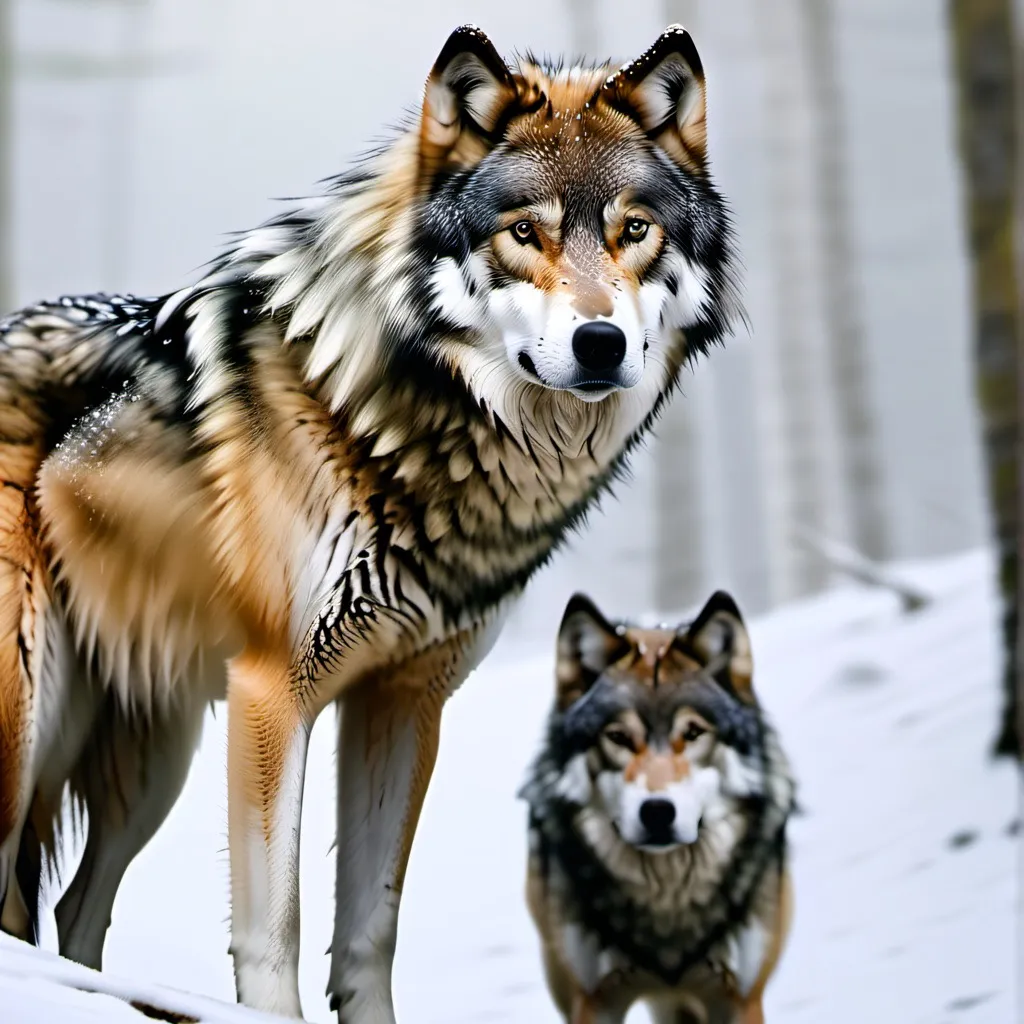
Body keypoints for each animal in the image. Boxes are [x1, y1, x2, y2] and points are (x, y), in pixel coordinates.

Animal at [0, 23, 740, 1022]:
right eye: (523, 232)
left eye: (633, 229)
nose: (601, 344)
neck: (382, 419)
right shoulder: (275, 693)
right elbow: (273, 932)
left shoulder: (404, 701)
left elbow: (369, 928)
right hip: (32, 720)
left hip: (153, 760)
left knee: (75, 910)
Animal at [521, 592, 795, 1024]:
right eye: (617, 737)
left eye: (693, 732)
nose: (657, 813)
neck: (668, 902)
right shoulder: (596, 1000)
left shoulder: (740, 998)